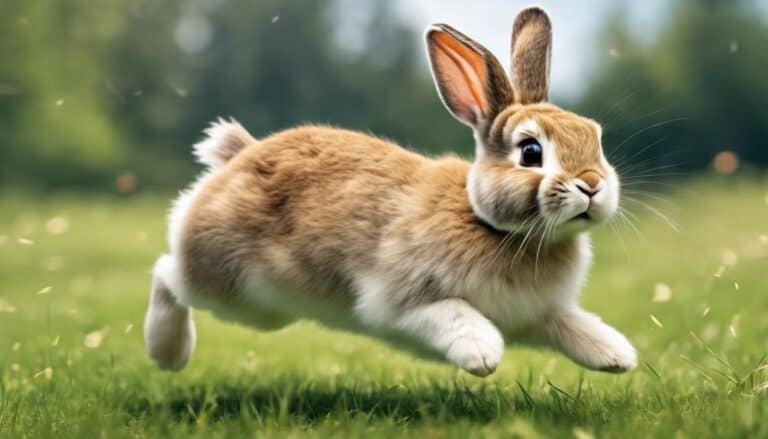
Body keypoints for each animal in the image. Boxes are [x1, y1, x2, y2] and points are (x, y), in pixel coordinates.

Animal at [144, 6, 637, 376]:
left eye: (595, 136)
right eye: (531, 151)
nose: (593, 185)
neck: (494, 226)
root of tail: (239, 157)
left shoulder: (539, 314)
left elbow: (572, 323)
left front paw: (617, 356)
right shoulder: (403, 302)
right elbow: (455, 315)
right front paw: (482, 355)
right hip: (233, 289)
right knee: (167, 273)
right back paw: (167, 353)